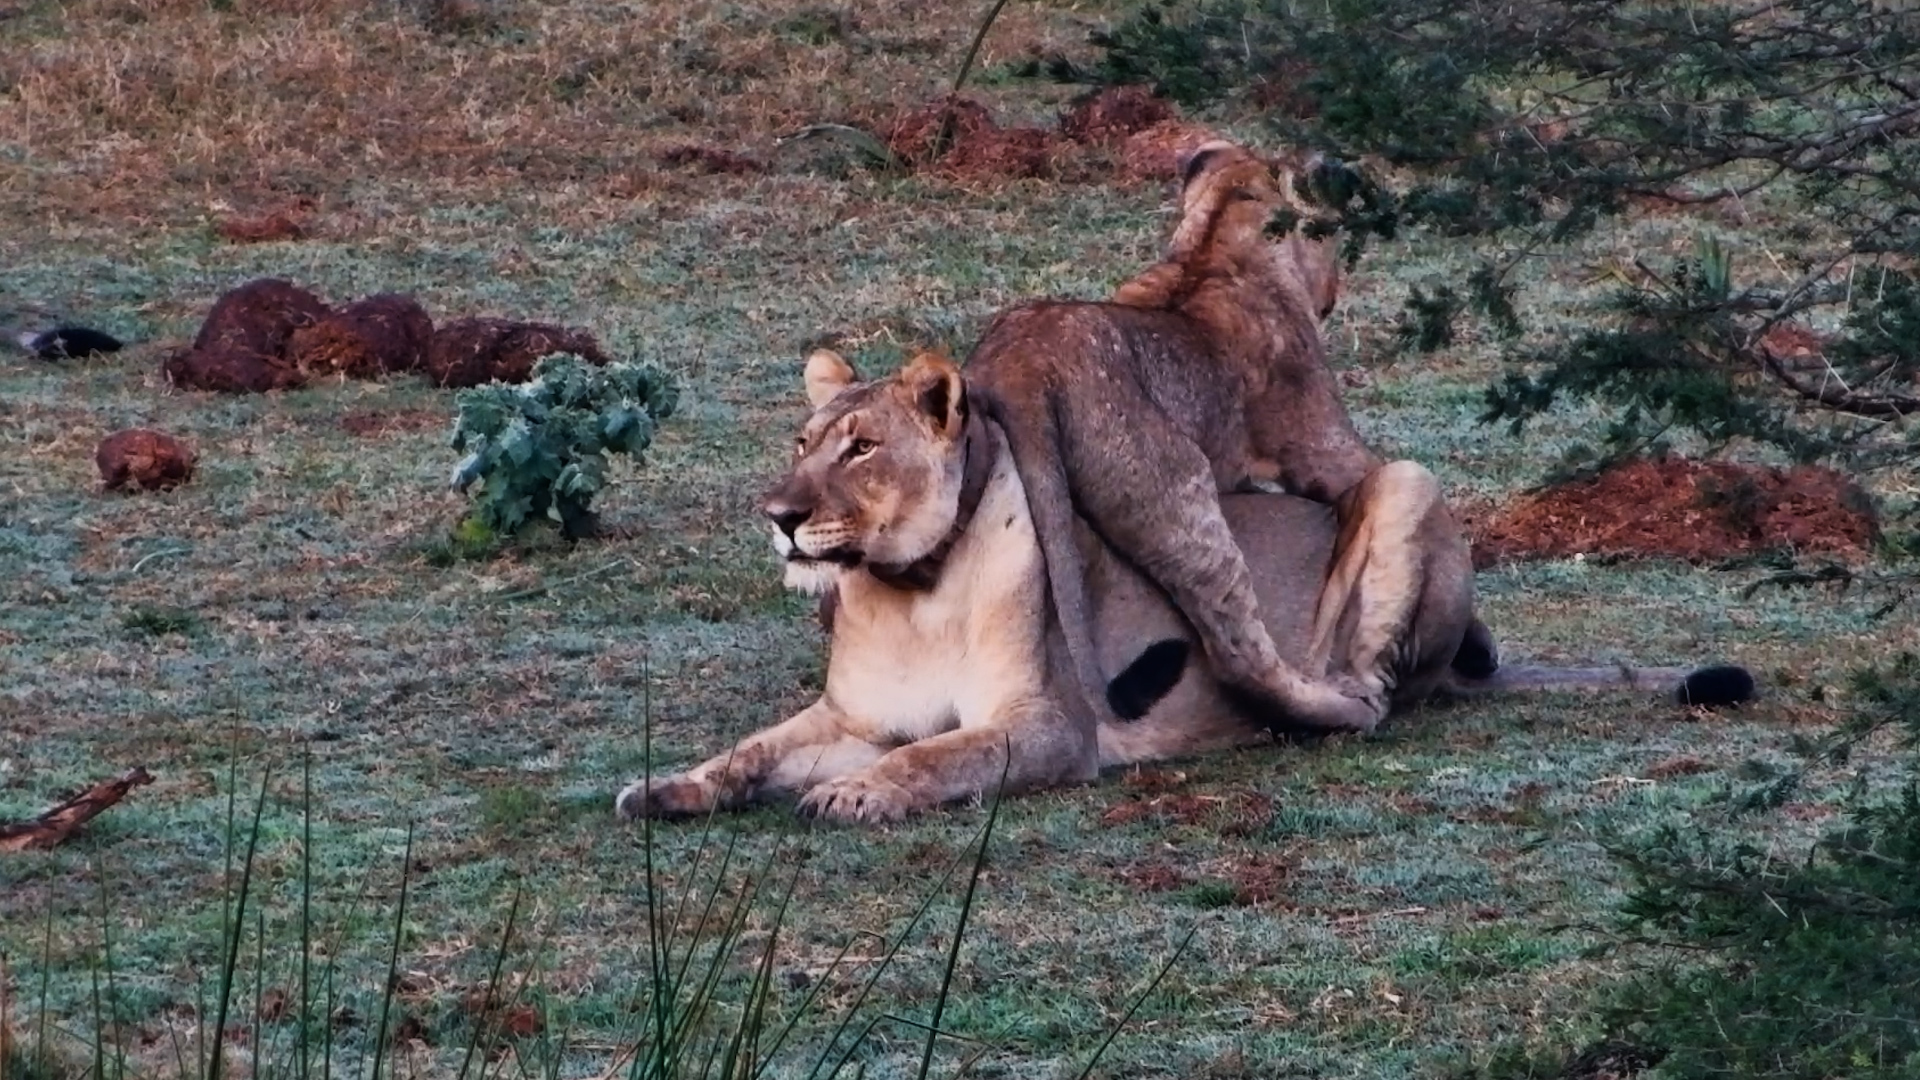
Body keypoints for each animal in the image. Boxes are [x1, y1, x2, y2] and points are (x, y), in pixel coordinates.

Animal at [613, 352, 1753, 824]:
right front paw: (667, 788)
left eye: (859, 448)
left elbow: (945, 753)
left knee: (1383, 689)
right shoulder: (851, 715)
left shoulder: (1051, 722)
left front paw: (862, 794)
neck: (906, 588)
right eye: (802, 443)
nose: (778, 513)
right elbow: (752, 752)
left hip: (1408, 484)